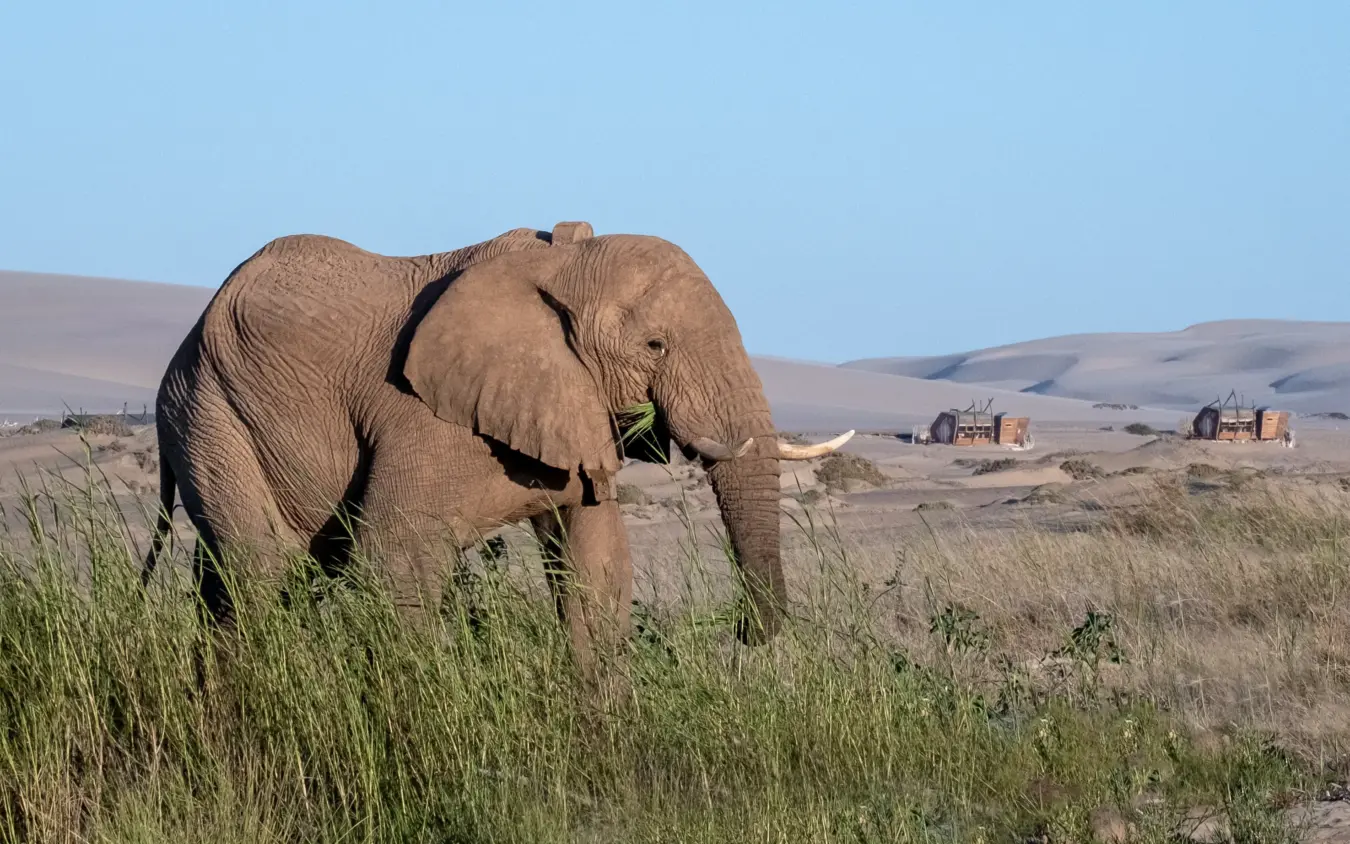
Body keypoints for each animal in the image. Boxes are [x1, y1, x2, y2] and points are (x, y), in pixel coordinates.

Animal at [142, 220, 853, 663]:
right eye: (655, 345)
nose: (739, 629)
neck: (561, 264)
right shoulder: (423, 417)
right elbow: (397, 557)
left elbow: (596, 572)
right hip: (209, 412)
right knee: (258, 571)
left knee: (236, 579)